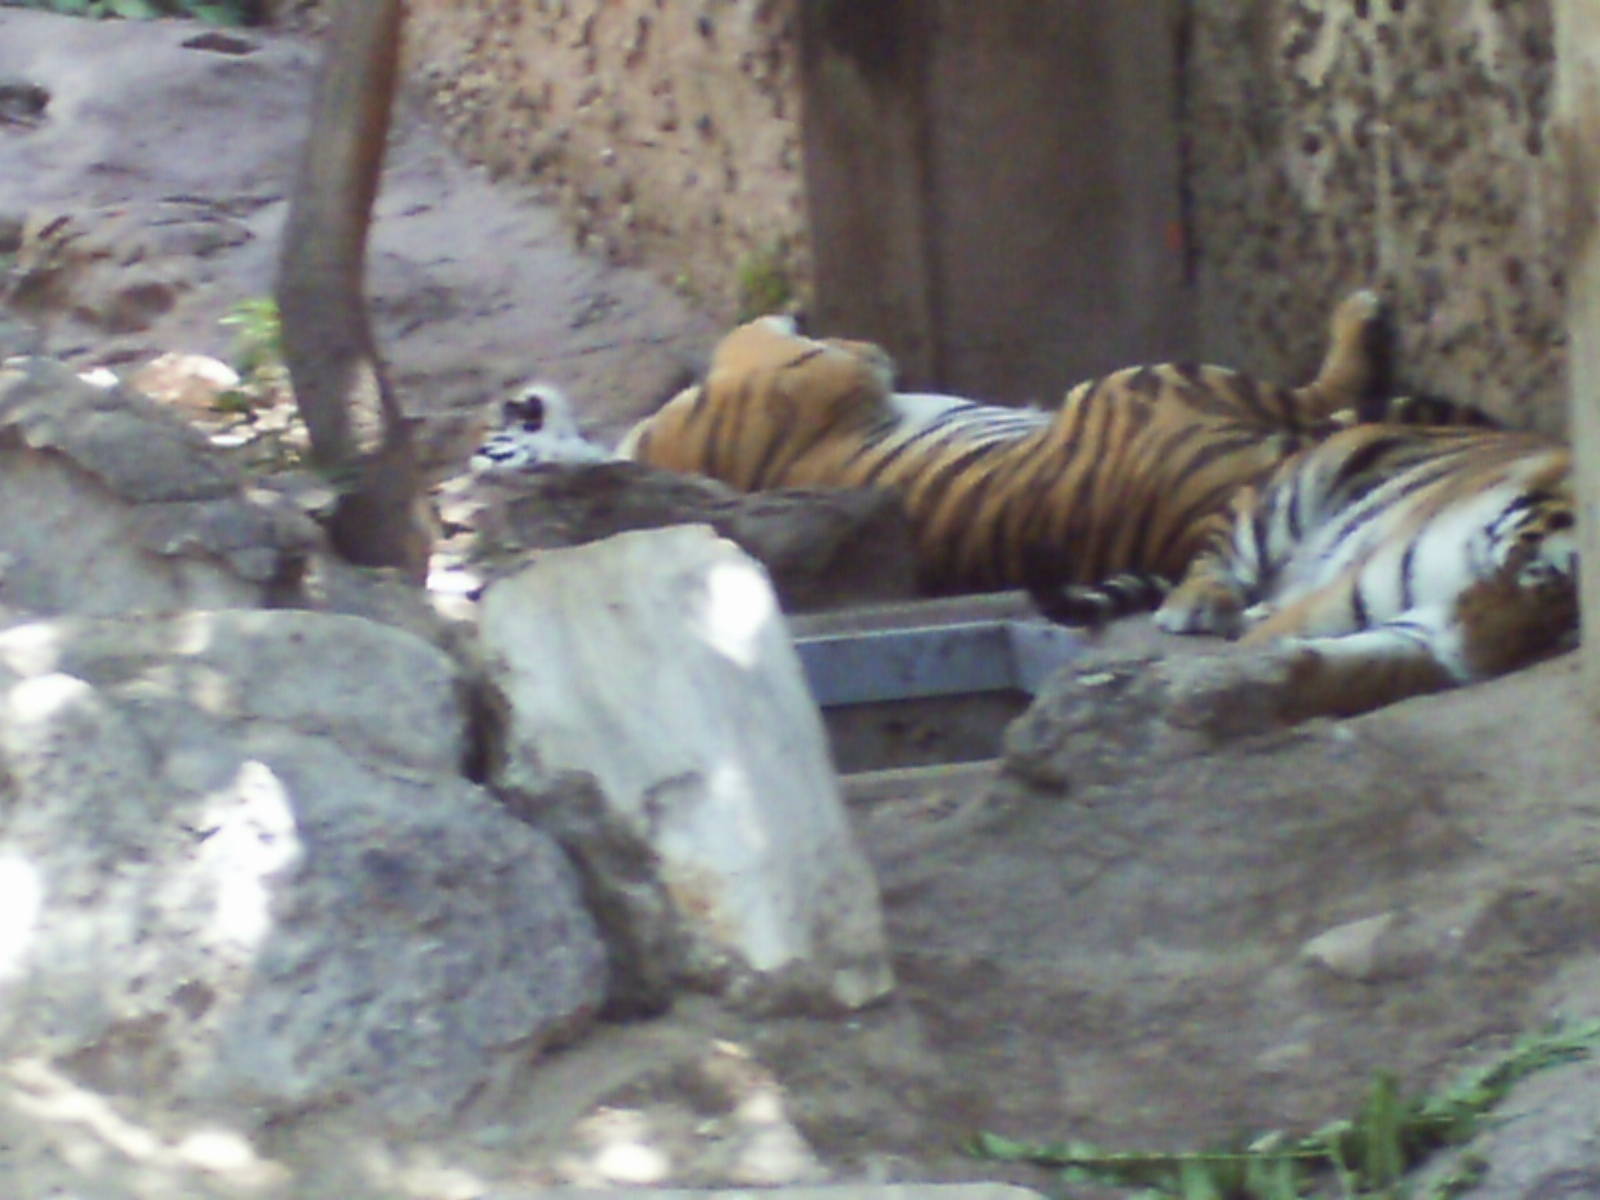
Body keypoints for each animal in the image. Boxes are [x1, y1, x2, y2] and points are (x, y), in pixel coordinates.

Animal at [1152, 422, 1576, 709]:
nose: (1464, 659)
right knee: (1219, 550)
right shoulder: (1351, 591)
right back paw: (1201, 603)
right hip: (1302, 486)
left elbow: (1365, 666)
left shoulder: (1421, 630)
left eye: (1562, 633)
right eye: (1534, 573)